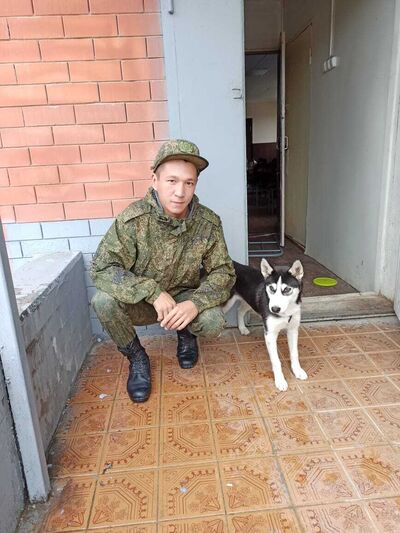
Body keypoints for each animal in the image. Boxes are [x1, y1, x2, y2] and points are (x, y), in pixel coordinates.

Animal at [224, 259, 308, 391]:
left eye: (287, 290)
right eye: (272, 288)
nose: (274, 309)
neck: (286, 312)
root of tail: (233, 263)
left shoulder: (293, 330)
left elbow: (295, 353)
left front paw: (297, 370)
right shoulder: (270, 335)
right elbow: (276, 361)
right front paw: (280, 380)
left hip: (250, 301)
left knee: (240, 310)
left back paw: (242, 328)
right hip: (227, 303)